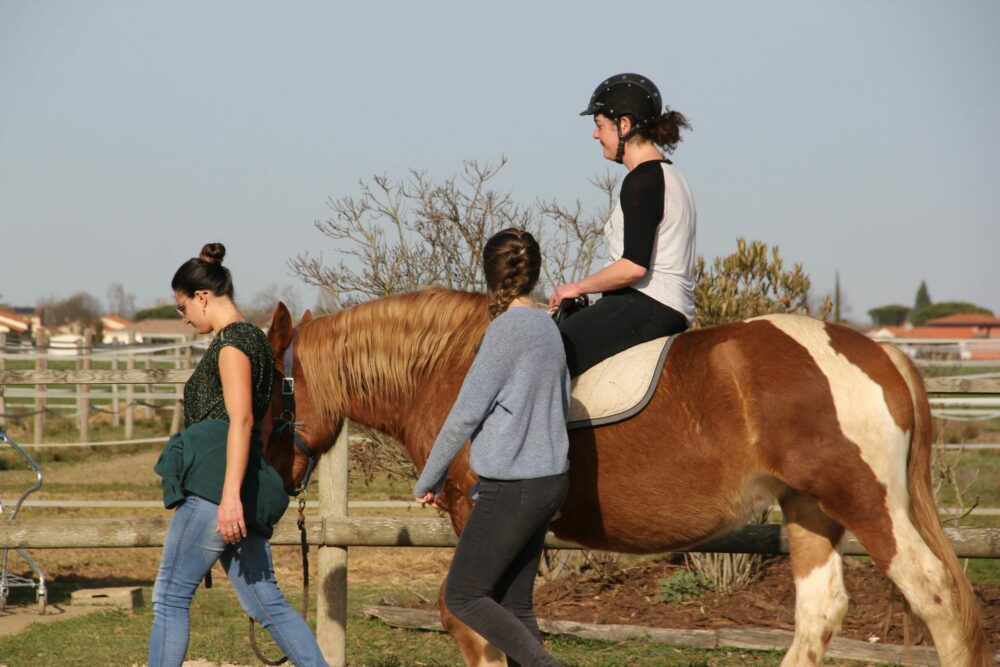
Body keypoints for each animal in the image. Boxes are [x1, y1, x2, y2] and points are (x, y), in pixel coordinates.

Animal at [262, 290, 988, 667]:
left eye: (269, 394)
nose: (269, 485)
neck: (454, 365)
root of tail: (882, 352)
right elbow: (510, 617)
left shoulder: (478, 514)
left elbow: (468, 618)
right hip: (810, 509)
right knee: (821, 612)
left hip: (865, 500)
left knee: (936, 596)